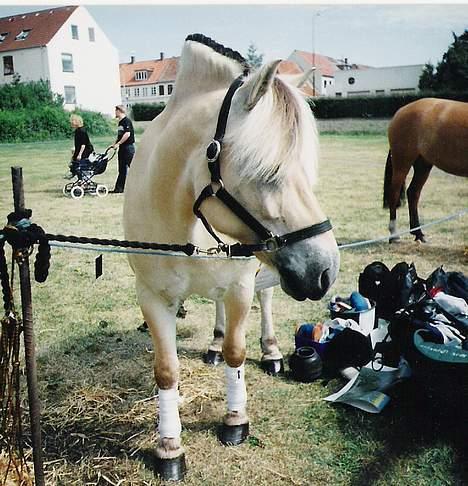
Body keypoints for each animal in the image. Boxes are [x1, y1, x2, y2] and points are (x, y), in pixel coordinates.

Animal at [122, 34, 338, 478]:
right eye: (269, 174)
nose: (327, 270)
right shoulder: (152, 297)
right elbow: (166, 371)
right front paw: (169, 447)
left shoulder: (240, 285)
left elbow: (237, 354)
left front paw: (235, 420)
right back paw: (213, 342)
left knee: (265, 299)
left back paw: (270, 351)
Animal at [382, 98, 466, 242]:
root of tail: (401, 111)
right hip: (402, 162)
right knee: (394, 194)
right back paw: (394, 235)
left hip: (423, 165)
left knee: (413, 193)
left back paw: (418, 233)